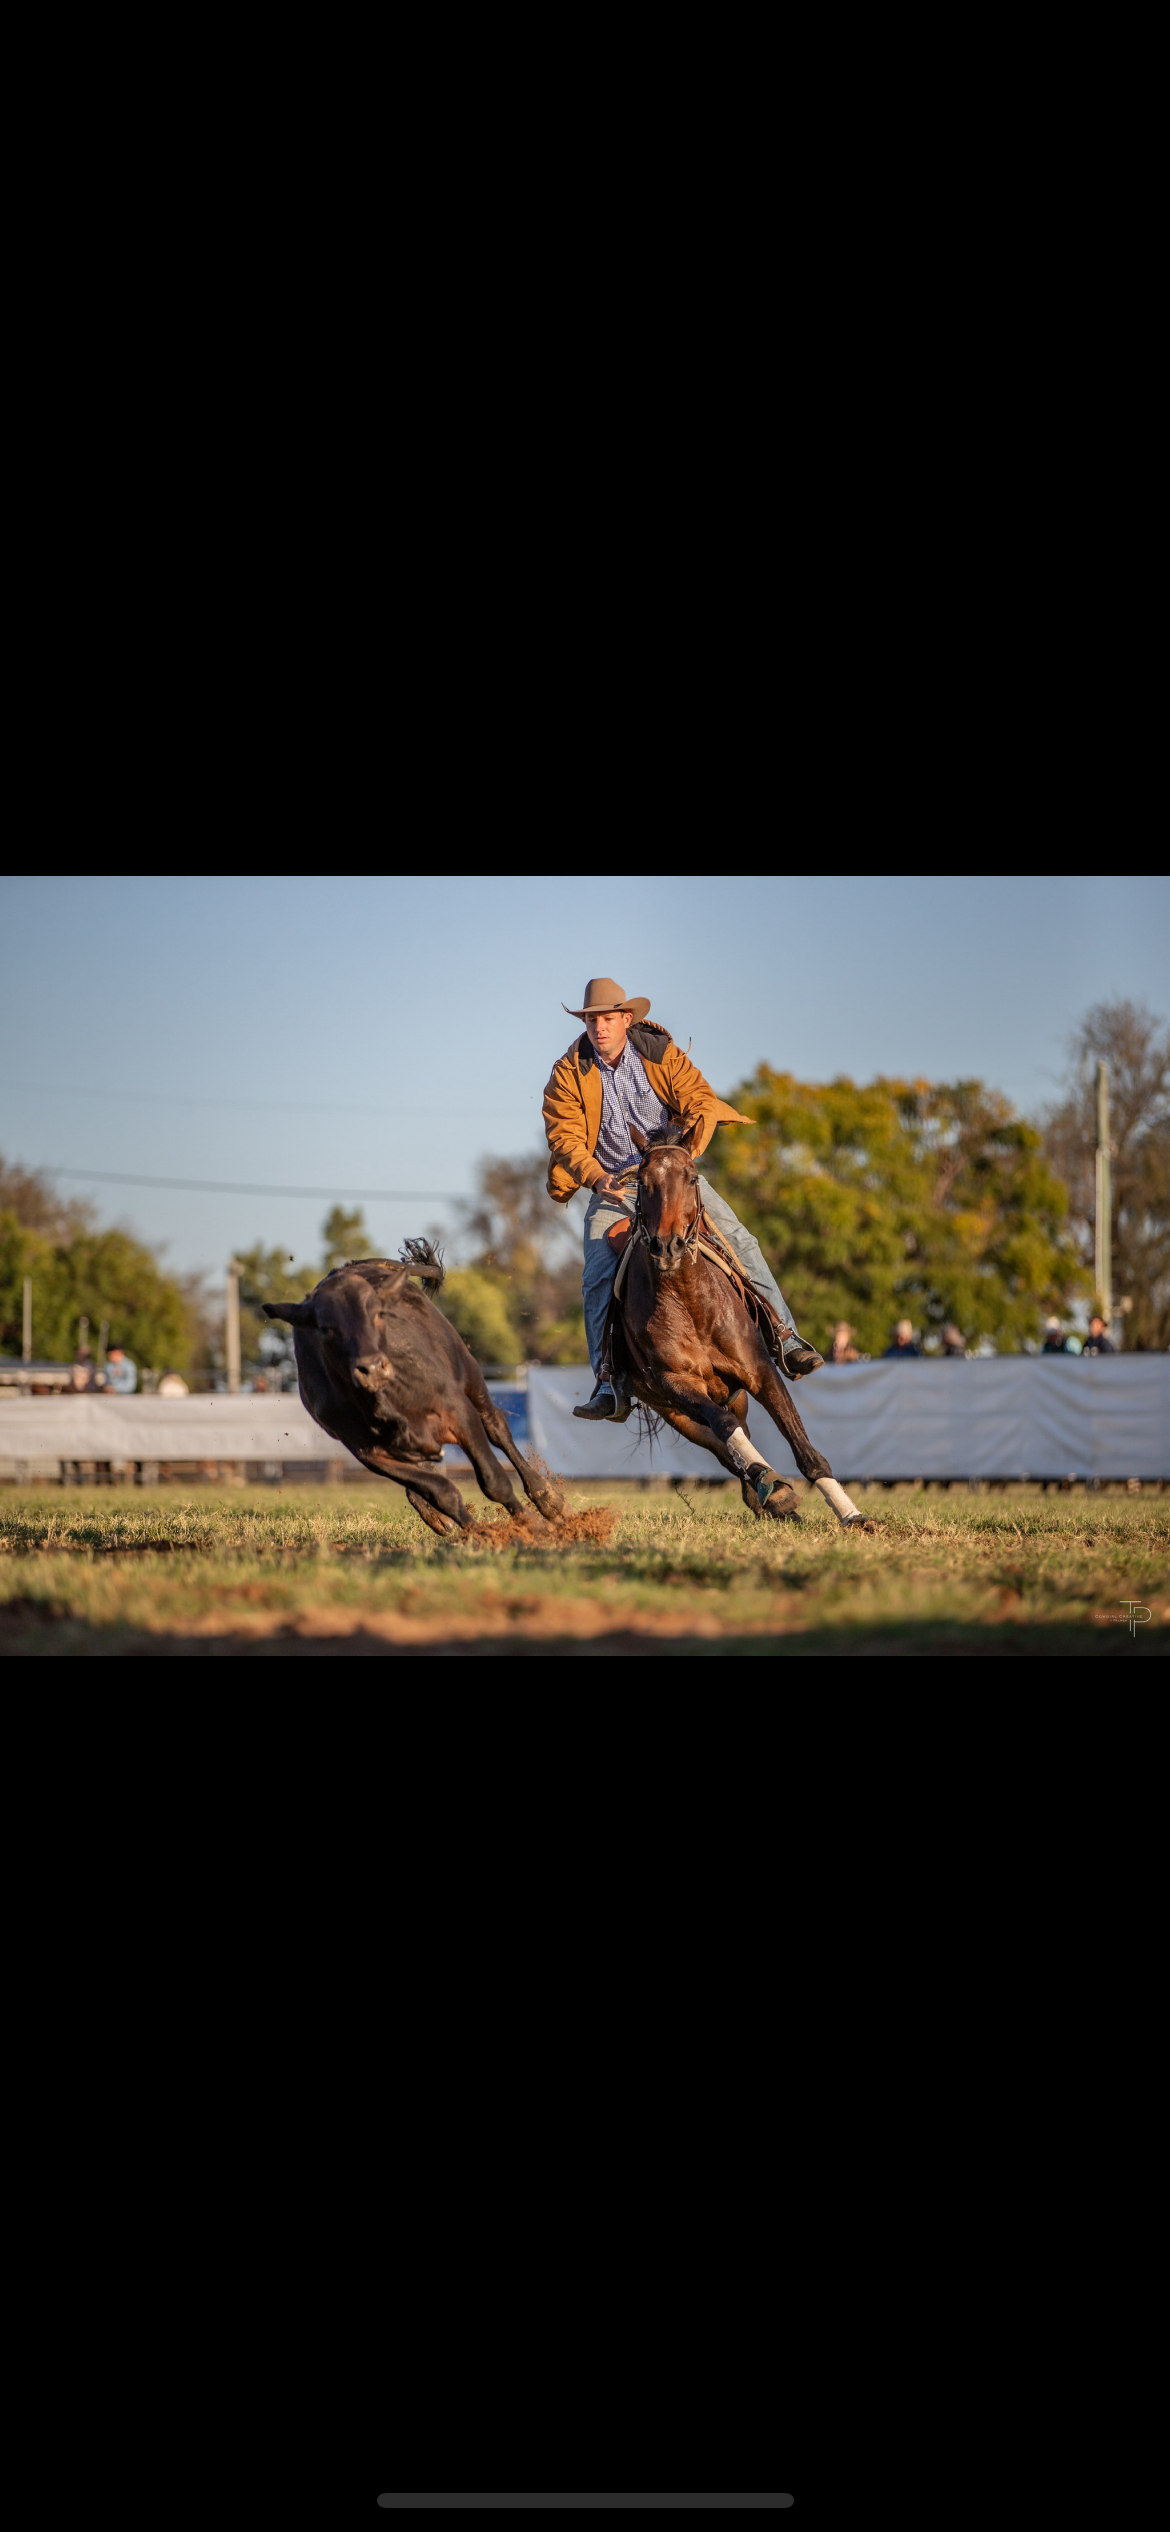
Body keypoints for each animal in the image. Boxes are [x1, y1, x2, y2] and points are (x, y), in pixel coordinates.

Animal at [261, 1243, 565, 1537]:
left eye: (378, 1313)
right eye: (326, 1329)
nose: (373, 1368)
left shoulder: (457, 1410)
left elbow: (494, 1480)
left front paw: (534, 1526)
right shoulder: (369, 1452)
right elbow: (442, 1492)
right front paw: (479, 1533)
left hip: (469, 1373)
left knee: (496, 1426)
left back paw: (548, 1498)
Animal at [604, 1123, 877, 1530]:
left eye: (692, 1177)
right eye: (644, 1181)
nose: (668, 1246)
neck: (690, 1301)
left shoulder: (760, 1370)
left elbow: (803, 1447)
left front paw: (852, 1515)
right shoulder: (677, 1383)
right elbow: (724, 1429)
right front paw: (775, 1490)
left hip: (734, 1393)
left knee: (741, 1431)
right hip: (673, 1410)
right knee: (724, 1445)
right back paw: (771, 1492)